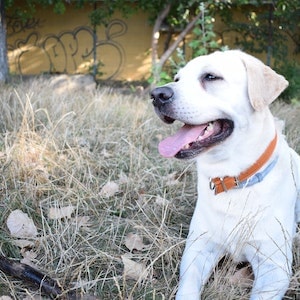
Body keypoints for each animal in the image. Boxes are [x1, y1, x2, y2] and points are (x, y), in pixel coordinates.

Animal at [151, 50, 300, 298]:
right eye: (177, 78)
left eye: (211, 77)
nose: (156, 94)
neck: (232, 179)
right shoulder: (198, 248)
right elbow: (187, 288)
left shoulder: (274, 267)